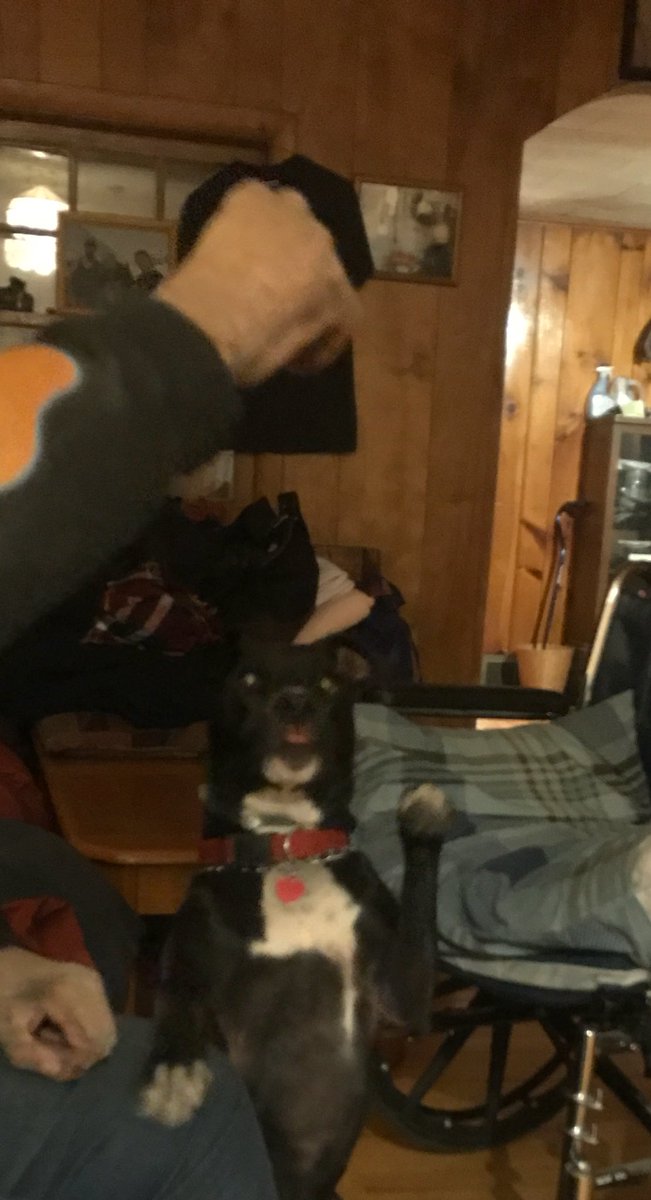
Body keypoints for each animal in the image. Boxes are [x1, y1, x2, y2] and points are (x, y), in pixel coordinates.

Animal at [140, 640, 453, 1200]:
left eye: (327, 685)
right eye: (247, 680)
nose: (295, 702)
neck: (285, 847)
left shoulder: (406, 998)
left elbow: (420, 915)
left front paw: (423, 818)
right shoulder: (187, 946)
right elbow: (175, 994)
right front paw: (172, 1071)